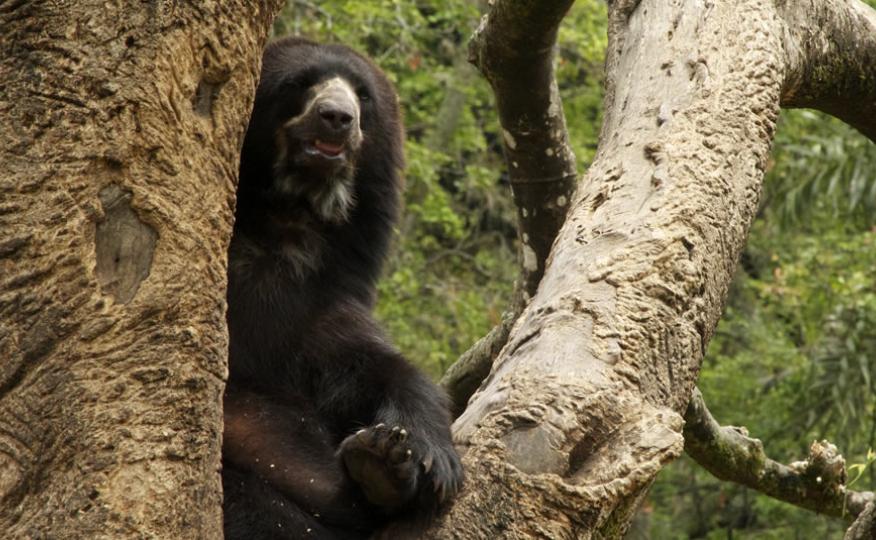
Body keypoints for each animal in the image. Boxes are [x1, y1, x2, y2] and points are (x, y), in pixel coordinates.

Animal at [222, 39, 462, 540]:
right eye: (299, 83)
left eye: (362, 94)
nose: (336, 116)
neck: (287, 224)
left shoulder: (321, 299)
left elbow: (376, 367)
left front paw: (420, 456)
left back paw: (378, 467)